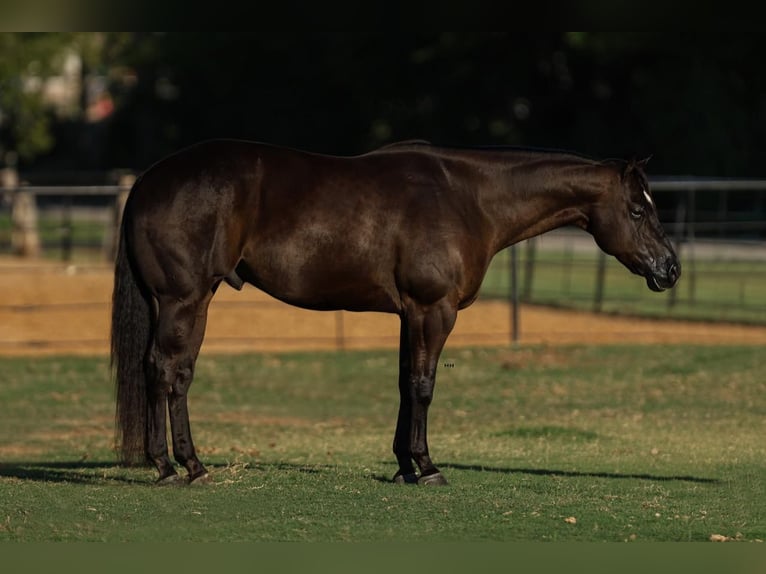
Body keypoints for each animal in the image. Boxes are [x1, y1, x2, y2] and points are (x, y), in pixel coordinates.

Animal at [111, 140, 680, 486]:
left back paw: (177, 463)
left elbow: (406, 383)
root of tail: (147, 182)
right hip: (186, 300)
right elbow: (424, 386)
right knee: (166, 371)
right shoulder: (435, 311)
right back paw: (178, 466)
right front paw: (427, 467)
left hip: (181, 302)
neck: (469, 198)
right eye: (638, 210)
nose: (670, 268)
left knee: (166, 372)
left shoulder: (412, 315)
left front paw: (405, 464)